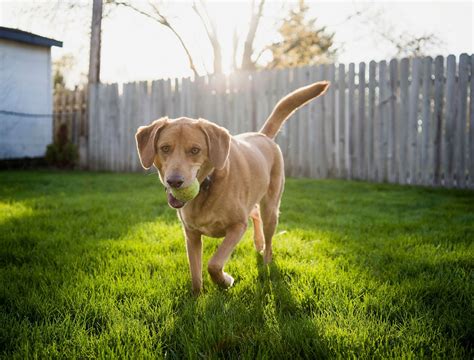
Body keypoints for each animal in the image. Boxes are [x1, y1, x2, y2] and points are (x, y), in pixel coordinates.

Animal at [136, 81, 330, 296]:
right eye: (165, 148)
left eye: (195, 150)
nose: (174, 182)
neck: (207, 185)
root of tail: (262, 135)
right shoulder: (191, 235)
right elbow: (195, 275)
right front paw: (196, 297)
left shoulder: (237, 226)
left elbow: (214, 264)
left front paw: (225, 281)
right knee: (254, 213)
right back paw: (258, 242)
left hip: (271, 208)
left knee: (268, 236)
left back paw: (266, 261)